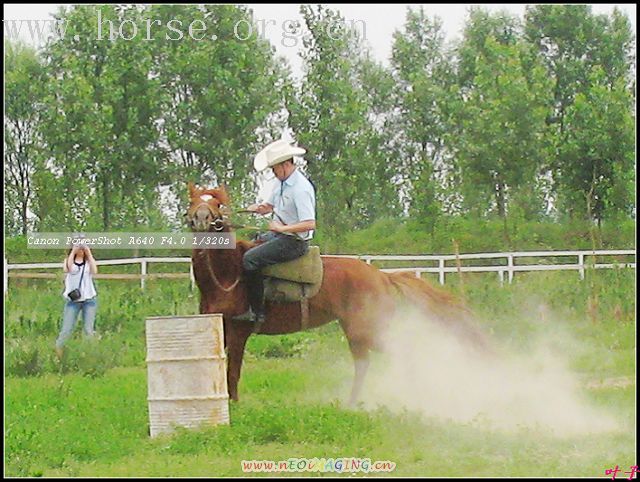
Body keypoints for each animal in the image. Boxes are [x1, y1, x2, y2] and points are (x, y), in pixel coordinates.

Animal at [185, 183, 490, 404]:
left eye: (217, 204)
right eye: (193, 201)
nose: (201, 218)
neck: (227, 274)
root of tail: (381, 275)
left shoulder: (239, 332)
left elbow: (232, 371)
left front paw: (235, 405)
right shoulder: (219, 329)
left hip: (368, 331)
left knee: (400, 352)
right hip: (357, 332)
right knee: (366, 363)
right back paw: (353, 402)